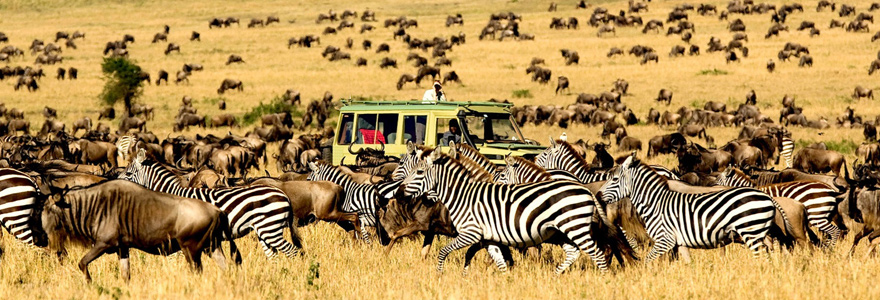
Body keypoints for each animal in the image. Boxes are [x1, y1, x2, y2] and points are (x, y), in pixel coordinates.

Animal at [119, 150, 302, 258]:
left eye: (128, 174)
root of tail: (283, 194)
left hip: (270, 228)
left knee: (293, 251)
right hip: (264, 230)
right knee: (274, 256)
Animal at [400, 150, 632, 274]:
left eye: (418, 172)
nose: (400, 191)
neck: (462, 196)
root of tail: (585, 189)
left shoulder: (471, 233)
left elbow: (443, 252)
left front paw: (439, 274)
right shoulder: (489, 237)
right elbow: (500, 262)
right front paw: (506, 280)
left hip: (574, 226)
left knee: (598, 253)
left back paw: (604, 278)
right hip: (563, 231)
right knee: (574, 252)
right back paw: (555, 276)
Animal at [600, 156, 792, 264]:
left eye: (614, 179)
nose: (599, 195)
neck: (655, 204)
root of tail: (767, 196)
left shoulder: (664, 240)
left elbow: (647, 261)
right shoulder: (680, 242)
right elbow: (688, 264)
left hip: (751, 231)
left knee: (762, 257)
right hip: (760, 232)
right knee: (769, 252)